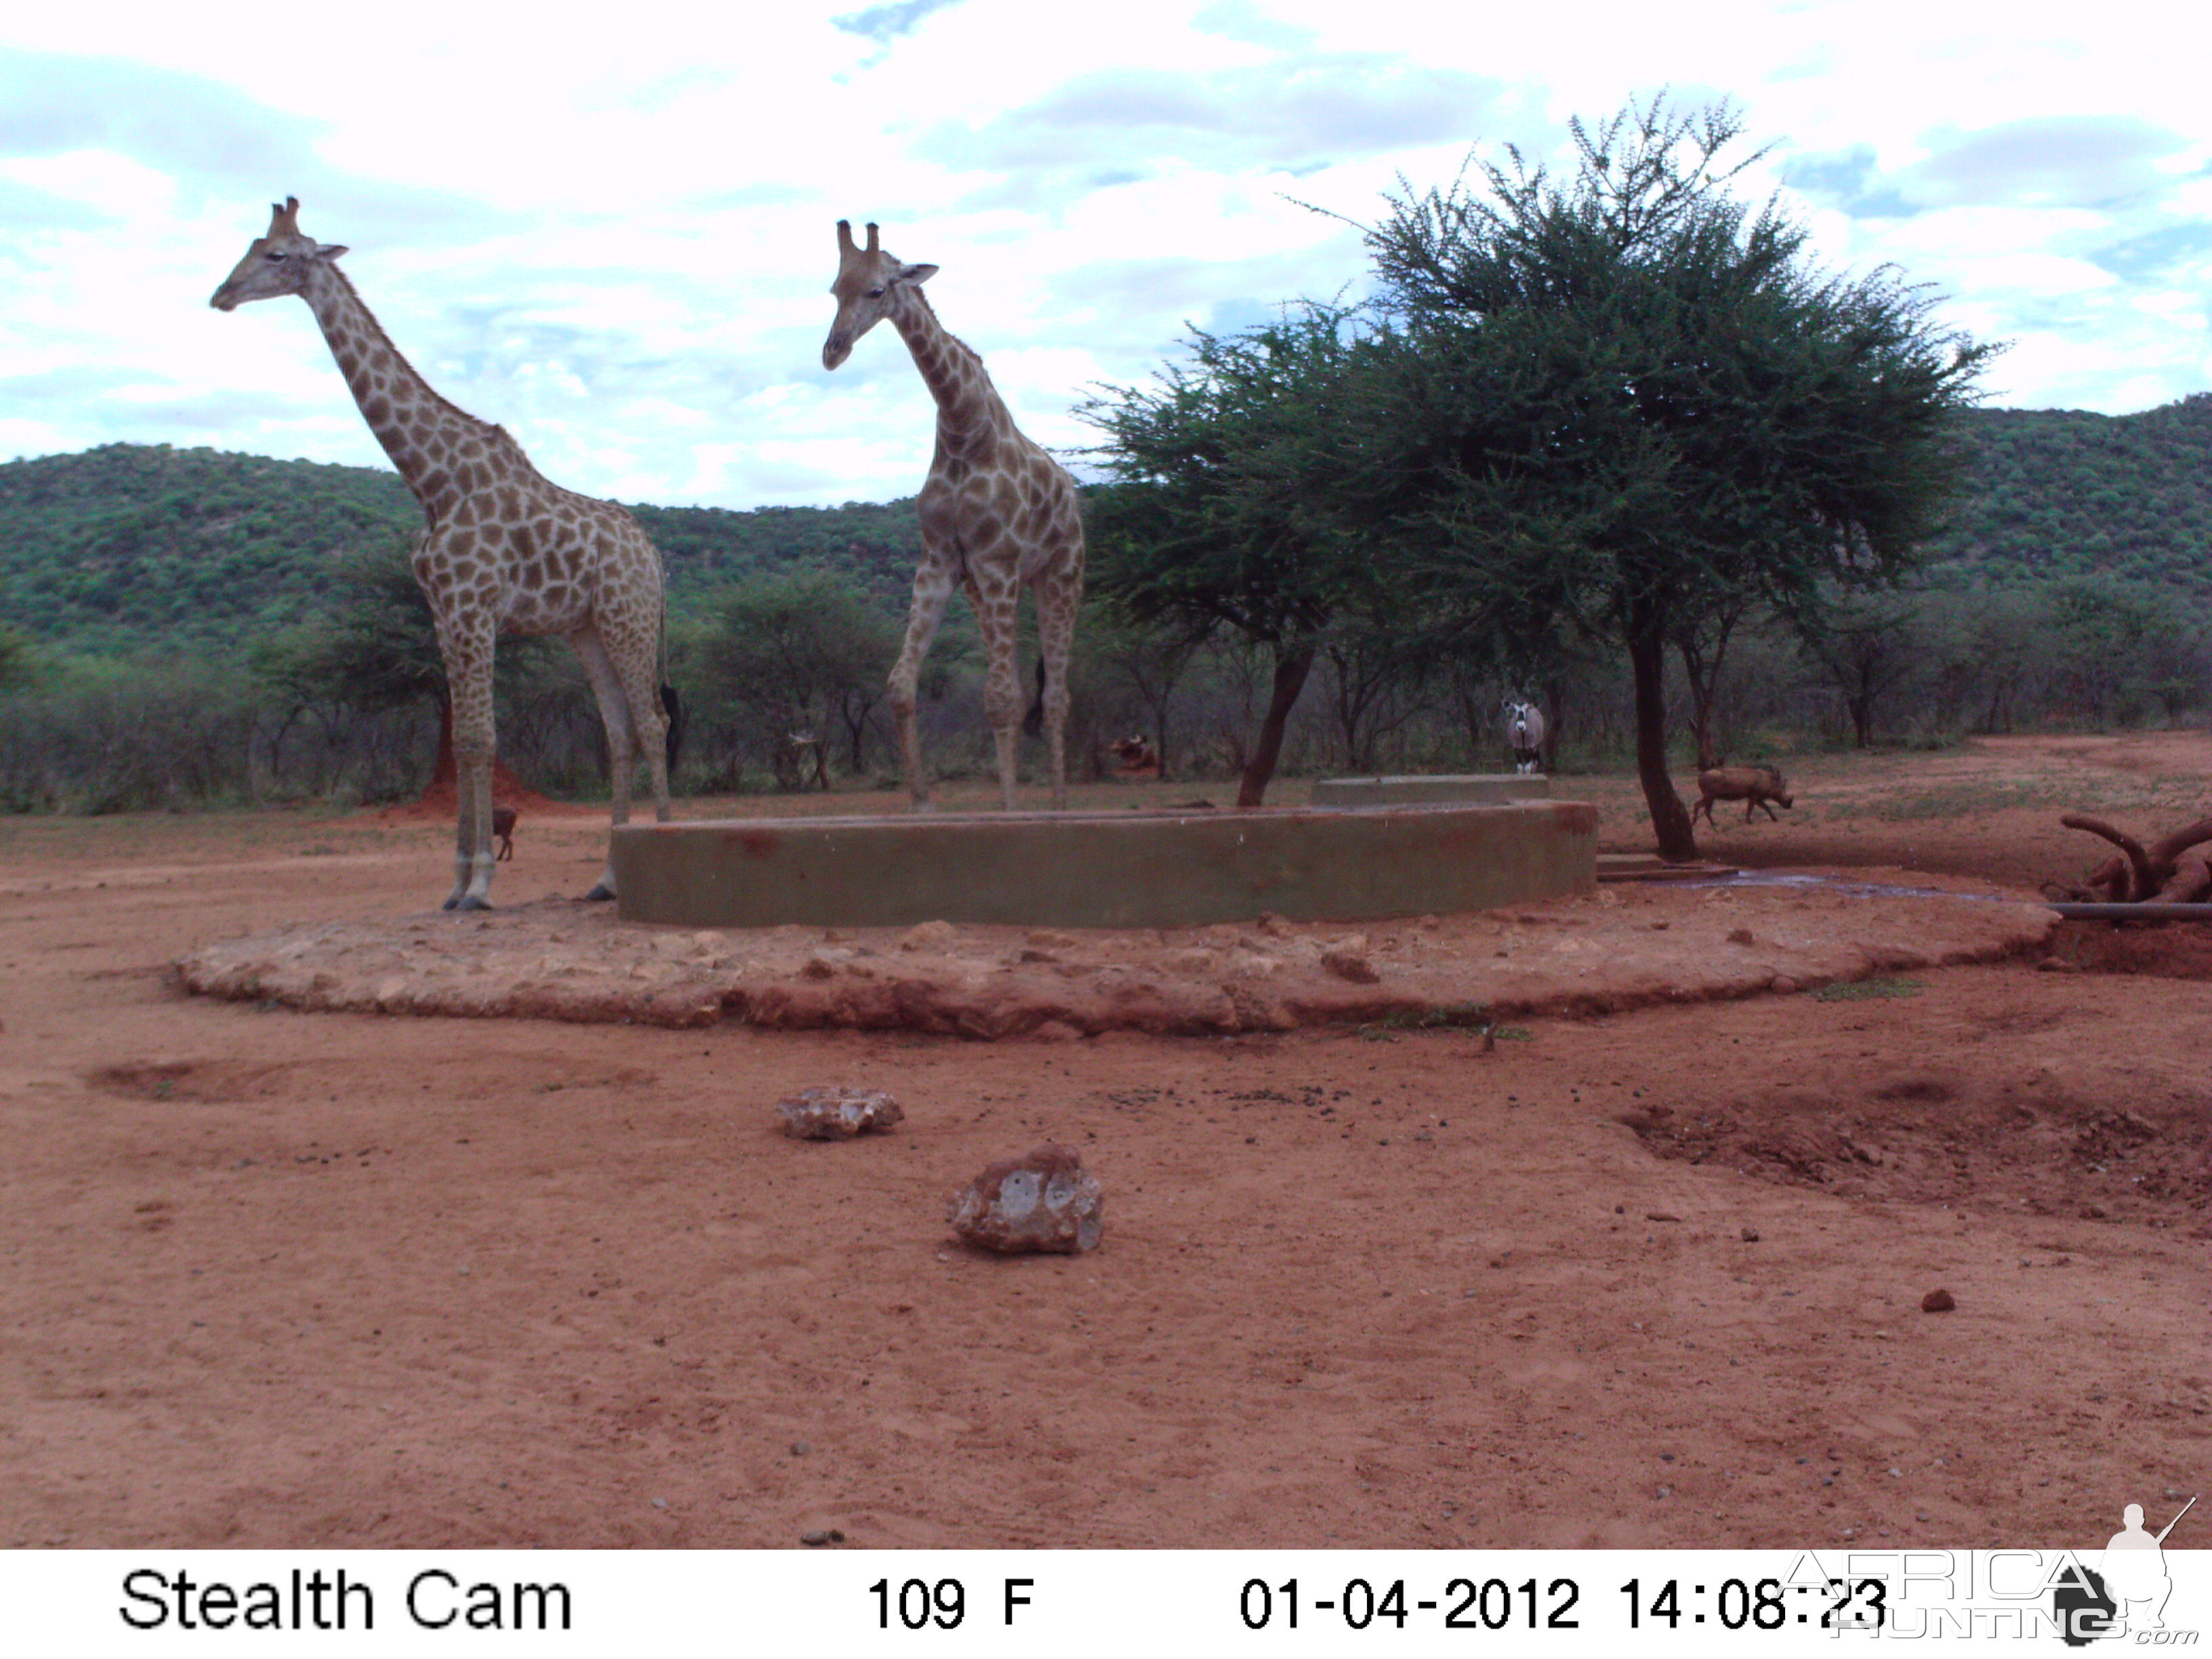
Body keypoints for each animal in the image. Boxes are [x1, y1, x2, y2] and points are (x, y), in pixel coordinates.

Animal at [211, 204, 668, 924]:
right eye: (253, 245)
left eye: (279, 256)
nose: (221, 294)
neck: (434, 484)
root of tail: (652, 556)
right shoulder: (444, 615)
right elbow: (460, 742)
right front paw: (454, 885)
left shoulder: (475, 610)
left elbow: (480, 740)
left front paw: (480, 885)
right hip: (587, 628)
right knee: (621, 732)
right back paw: (608, 878)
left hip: (630, 618)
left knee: (653, 722)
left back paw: (668, 847)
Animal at [823, 218, 1079, 814]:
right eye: (834, 289)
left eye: (877, 290)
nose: (833, 351)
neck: (963, 430)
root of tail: (1074, 497)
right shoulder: (941, 562)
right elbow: (901, 686)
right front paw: (922, 805)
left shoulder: (1000, 561)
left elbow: (1002, 698)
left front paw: (1010, 810)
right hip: (982, 591)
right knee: (1019, 687)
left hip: (1060, 579)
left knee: (1055, 696)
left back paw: (1058, 805)